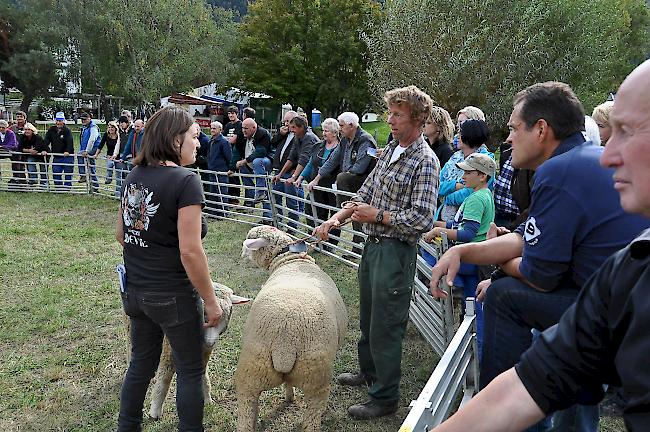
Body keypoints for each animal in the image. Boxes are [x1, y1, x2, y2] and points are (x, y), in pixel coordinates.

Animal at [237, 226, 346, 432]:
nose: (241, 255)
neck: (291, 261)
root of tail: (284, 343)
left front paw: (289, 397)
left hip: (252, 372)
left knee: (247, 413)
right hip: (316, 378)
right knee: (313, 416)